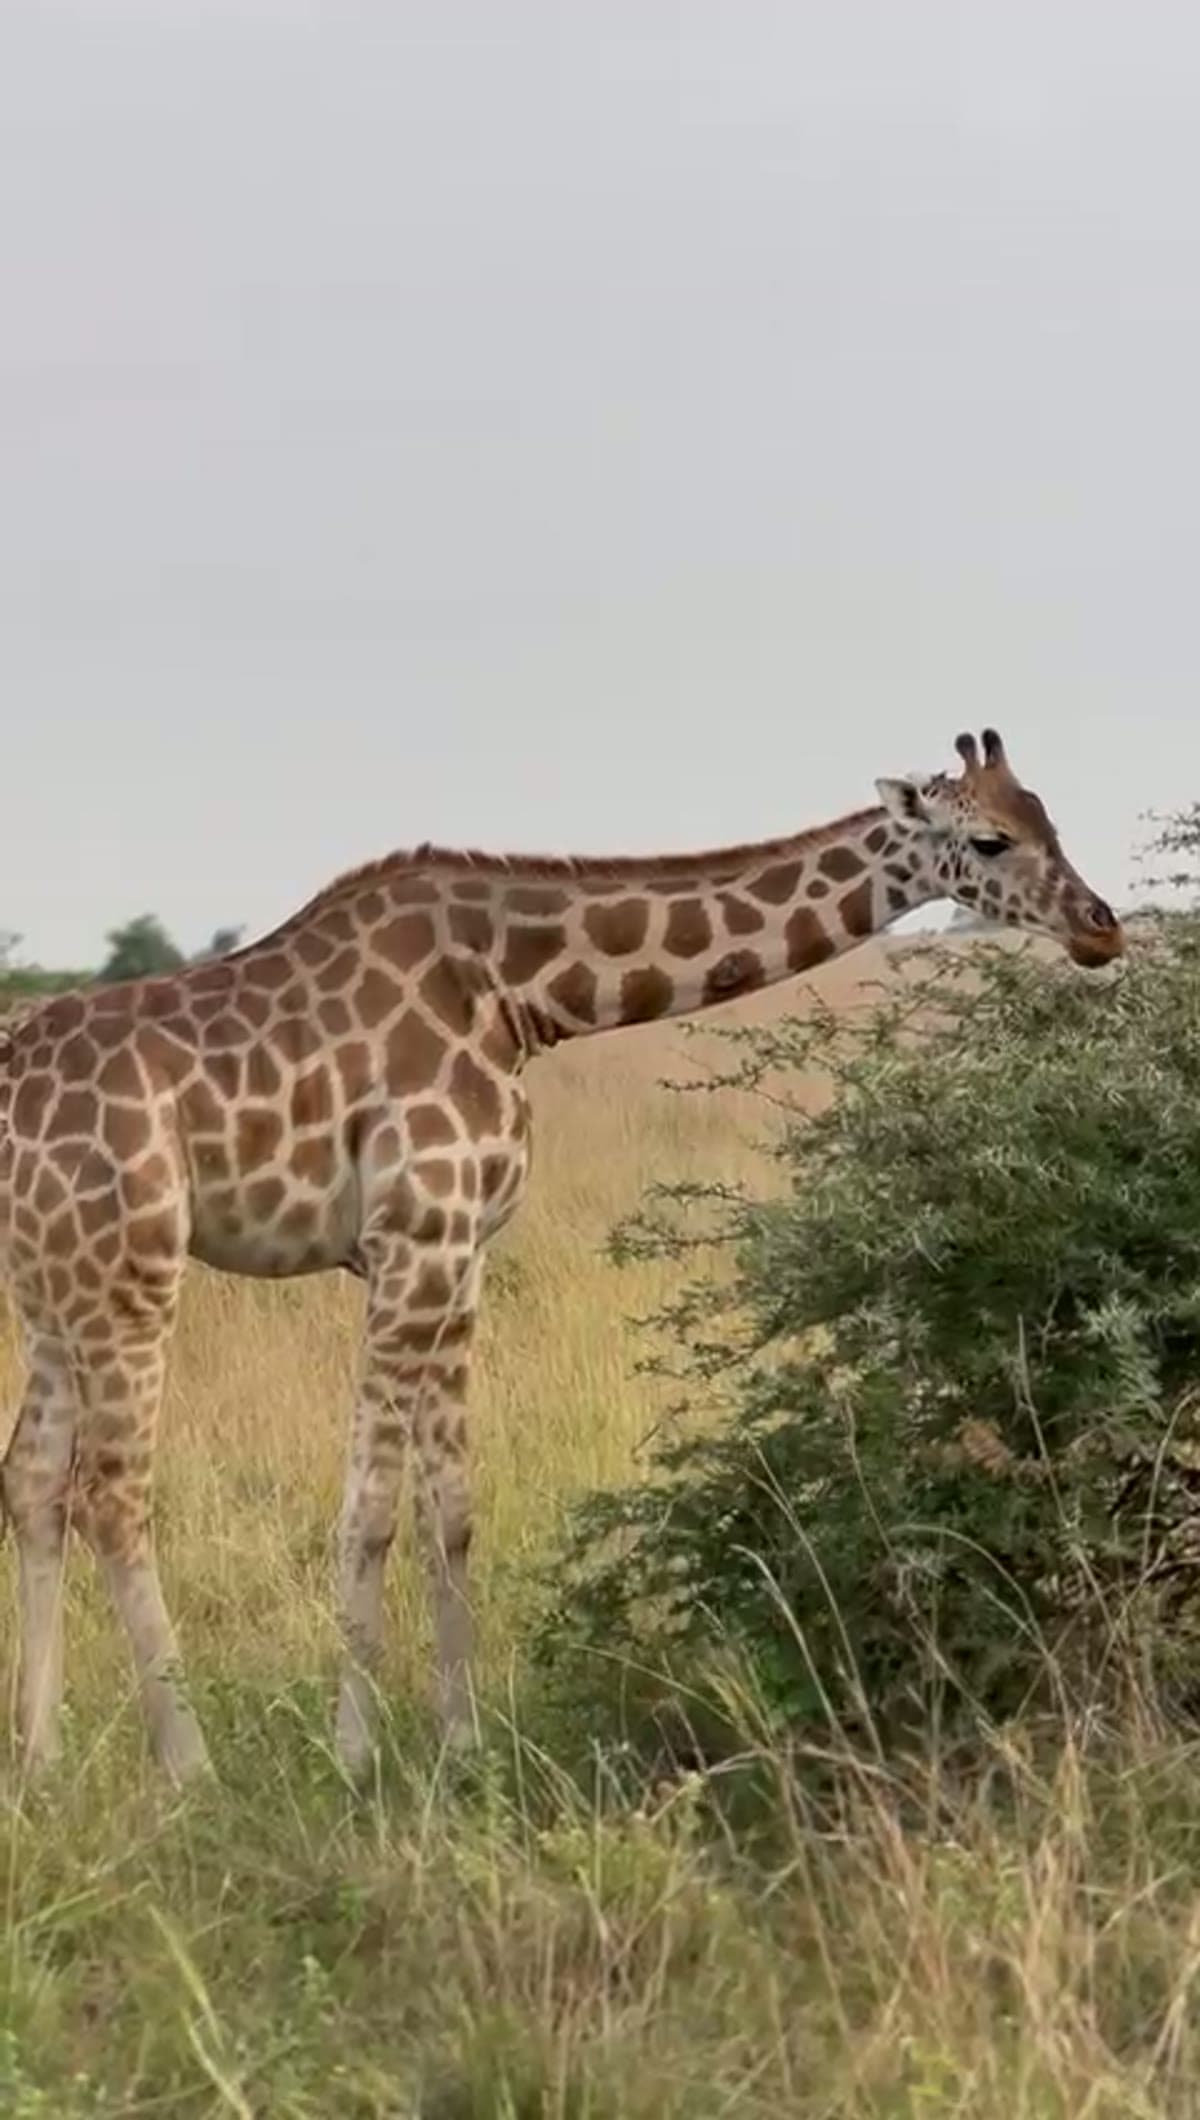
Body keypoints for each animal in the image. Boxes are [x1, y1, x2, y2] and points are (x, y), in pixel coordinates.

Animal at [0, 726, 1123, 1785]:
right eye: (992, 839)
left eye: (1048, 815)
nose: (1101, 926)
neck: (523, 993)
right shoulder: (413, 1239)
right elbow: (369, 1512)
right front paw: (355, 1754)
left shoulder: (461, 1257)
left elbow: (450, 1510)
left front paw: (459, 1743)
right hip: (129, 1271)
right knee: (111, 1490)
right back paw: (188, 1764)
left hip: (54, 1286)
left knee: (35, 1479)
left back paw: (40, 1758)